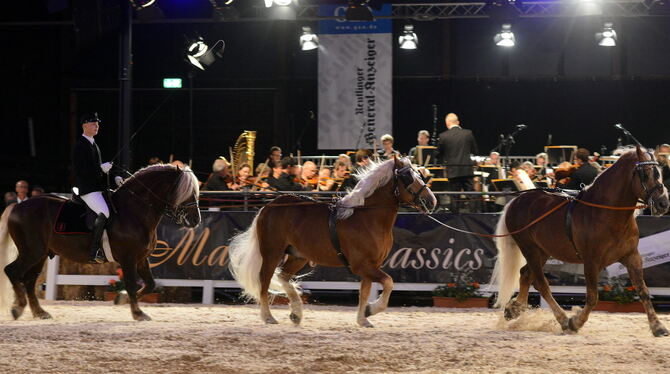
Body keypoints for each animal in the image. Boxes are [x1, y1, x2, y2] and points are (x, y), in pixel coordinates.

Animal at [0, 165, 201, 320]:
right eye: (185, 191)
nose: (195, 220)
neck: (135, 211)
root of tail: (17, 206)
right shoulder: (128, 258)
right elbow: (131, 283)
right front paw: (137, 313)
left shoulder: (141, 258)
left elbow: (150, 284)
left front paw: (121, 299)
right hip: (31, 251)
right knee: (12, 271)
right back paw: (18, 307)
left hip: (40, 254)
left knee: (29, 280)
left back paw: (39, 312)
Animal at [228, 156, 438, 326]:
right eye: (407, 177)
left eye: (419, 174)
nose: (432, 201)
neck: (366, 217)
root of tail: (269, 206)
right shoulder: (362, 266)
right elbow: (388, 282)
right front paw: (371, 310)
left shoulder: (370, 267)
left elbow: (364, 292)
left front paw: (363, 319)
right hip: (272, 252)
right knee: (264, 281)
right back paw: (268, 317)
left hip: (298, 256)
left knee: (283, 276)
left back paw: (296, 313)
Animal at [490, 148, 668, 338]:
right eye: (646, 173)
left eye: (660, 172)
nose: (663, 203)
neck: (605, 213)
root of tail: (516, 201)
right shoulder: (591, 261)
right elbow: (592, 297)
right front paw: (575, 322)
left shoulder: (632, 256)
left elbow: (643, 291)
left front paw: (658, 327)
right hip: (529, 249)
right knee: (541, 283)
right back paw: (562, 320)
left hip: (542, 251)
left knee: (525, 274)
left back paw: (515, 309)